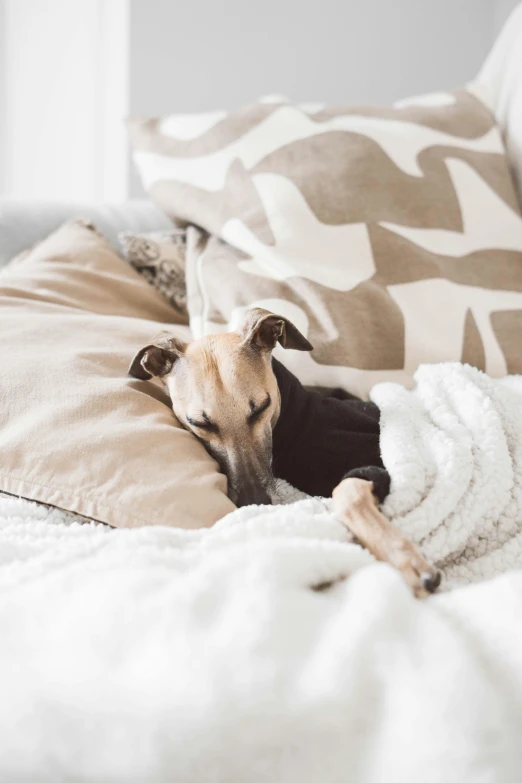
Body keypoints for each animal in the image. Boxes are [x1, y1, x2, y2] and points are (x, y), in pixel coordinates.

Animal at [129, 310, 438, 596]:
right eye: (200, 424)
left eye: (261, 407)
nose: (256, 501)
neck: (296, 419)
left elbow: (347, 491)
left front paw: (409, 562)